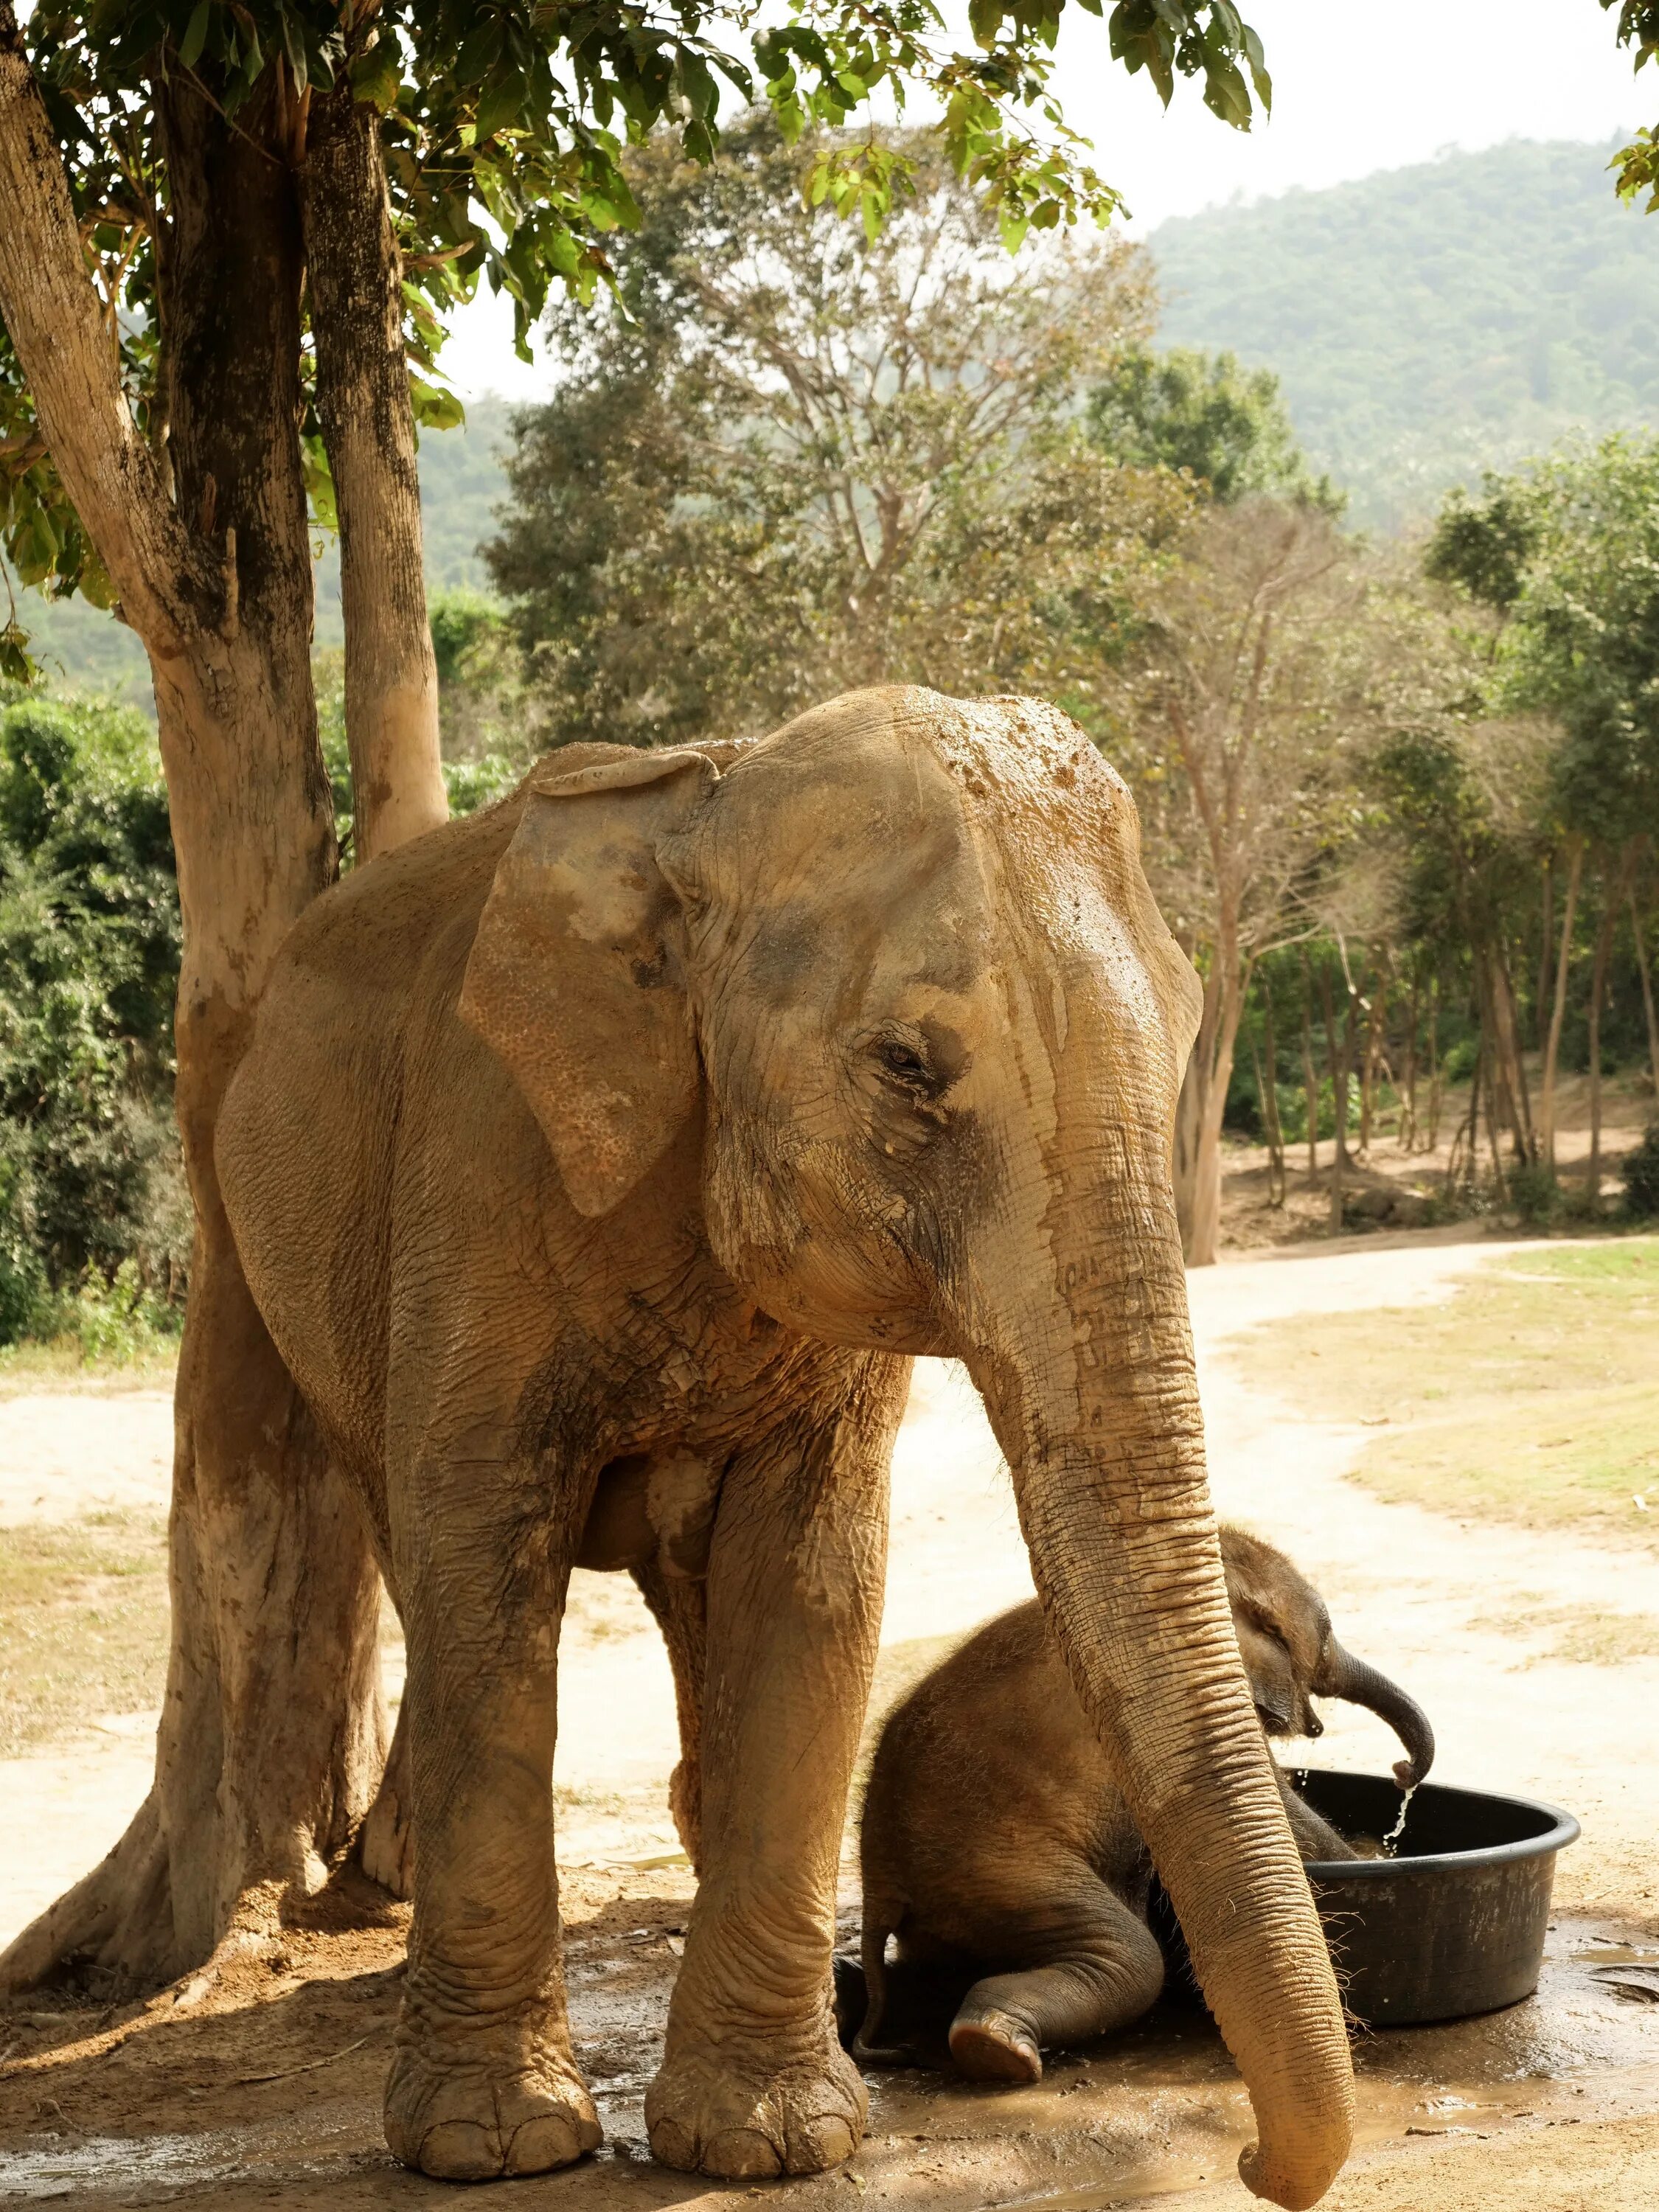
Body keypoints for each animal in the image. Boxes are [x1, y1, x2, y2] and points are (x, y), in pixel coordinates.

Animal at [221, 681, 1354, 2203]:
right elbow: (481, 1565)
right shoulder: (476, 1173)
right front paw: (495, 2149)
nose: (1248, 2162)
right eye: (906, 1066)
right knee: (427, 1563)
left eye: (1188, 1037)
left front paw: (772, 2145)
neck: (707, 801)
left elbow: (812, 1584)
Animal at [849, 1531, 1433, 2079]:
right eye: (1327, 1632)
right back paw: (997, 2052)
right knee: (1130, 1959)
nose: (1401, 1771)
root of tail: (877, 1881)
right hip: (1000, 1872)